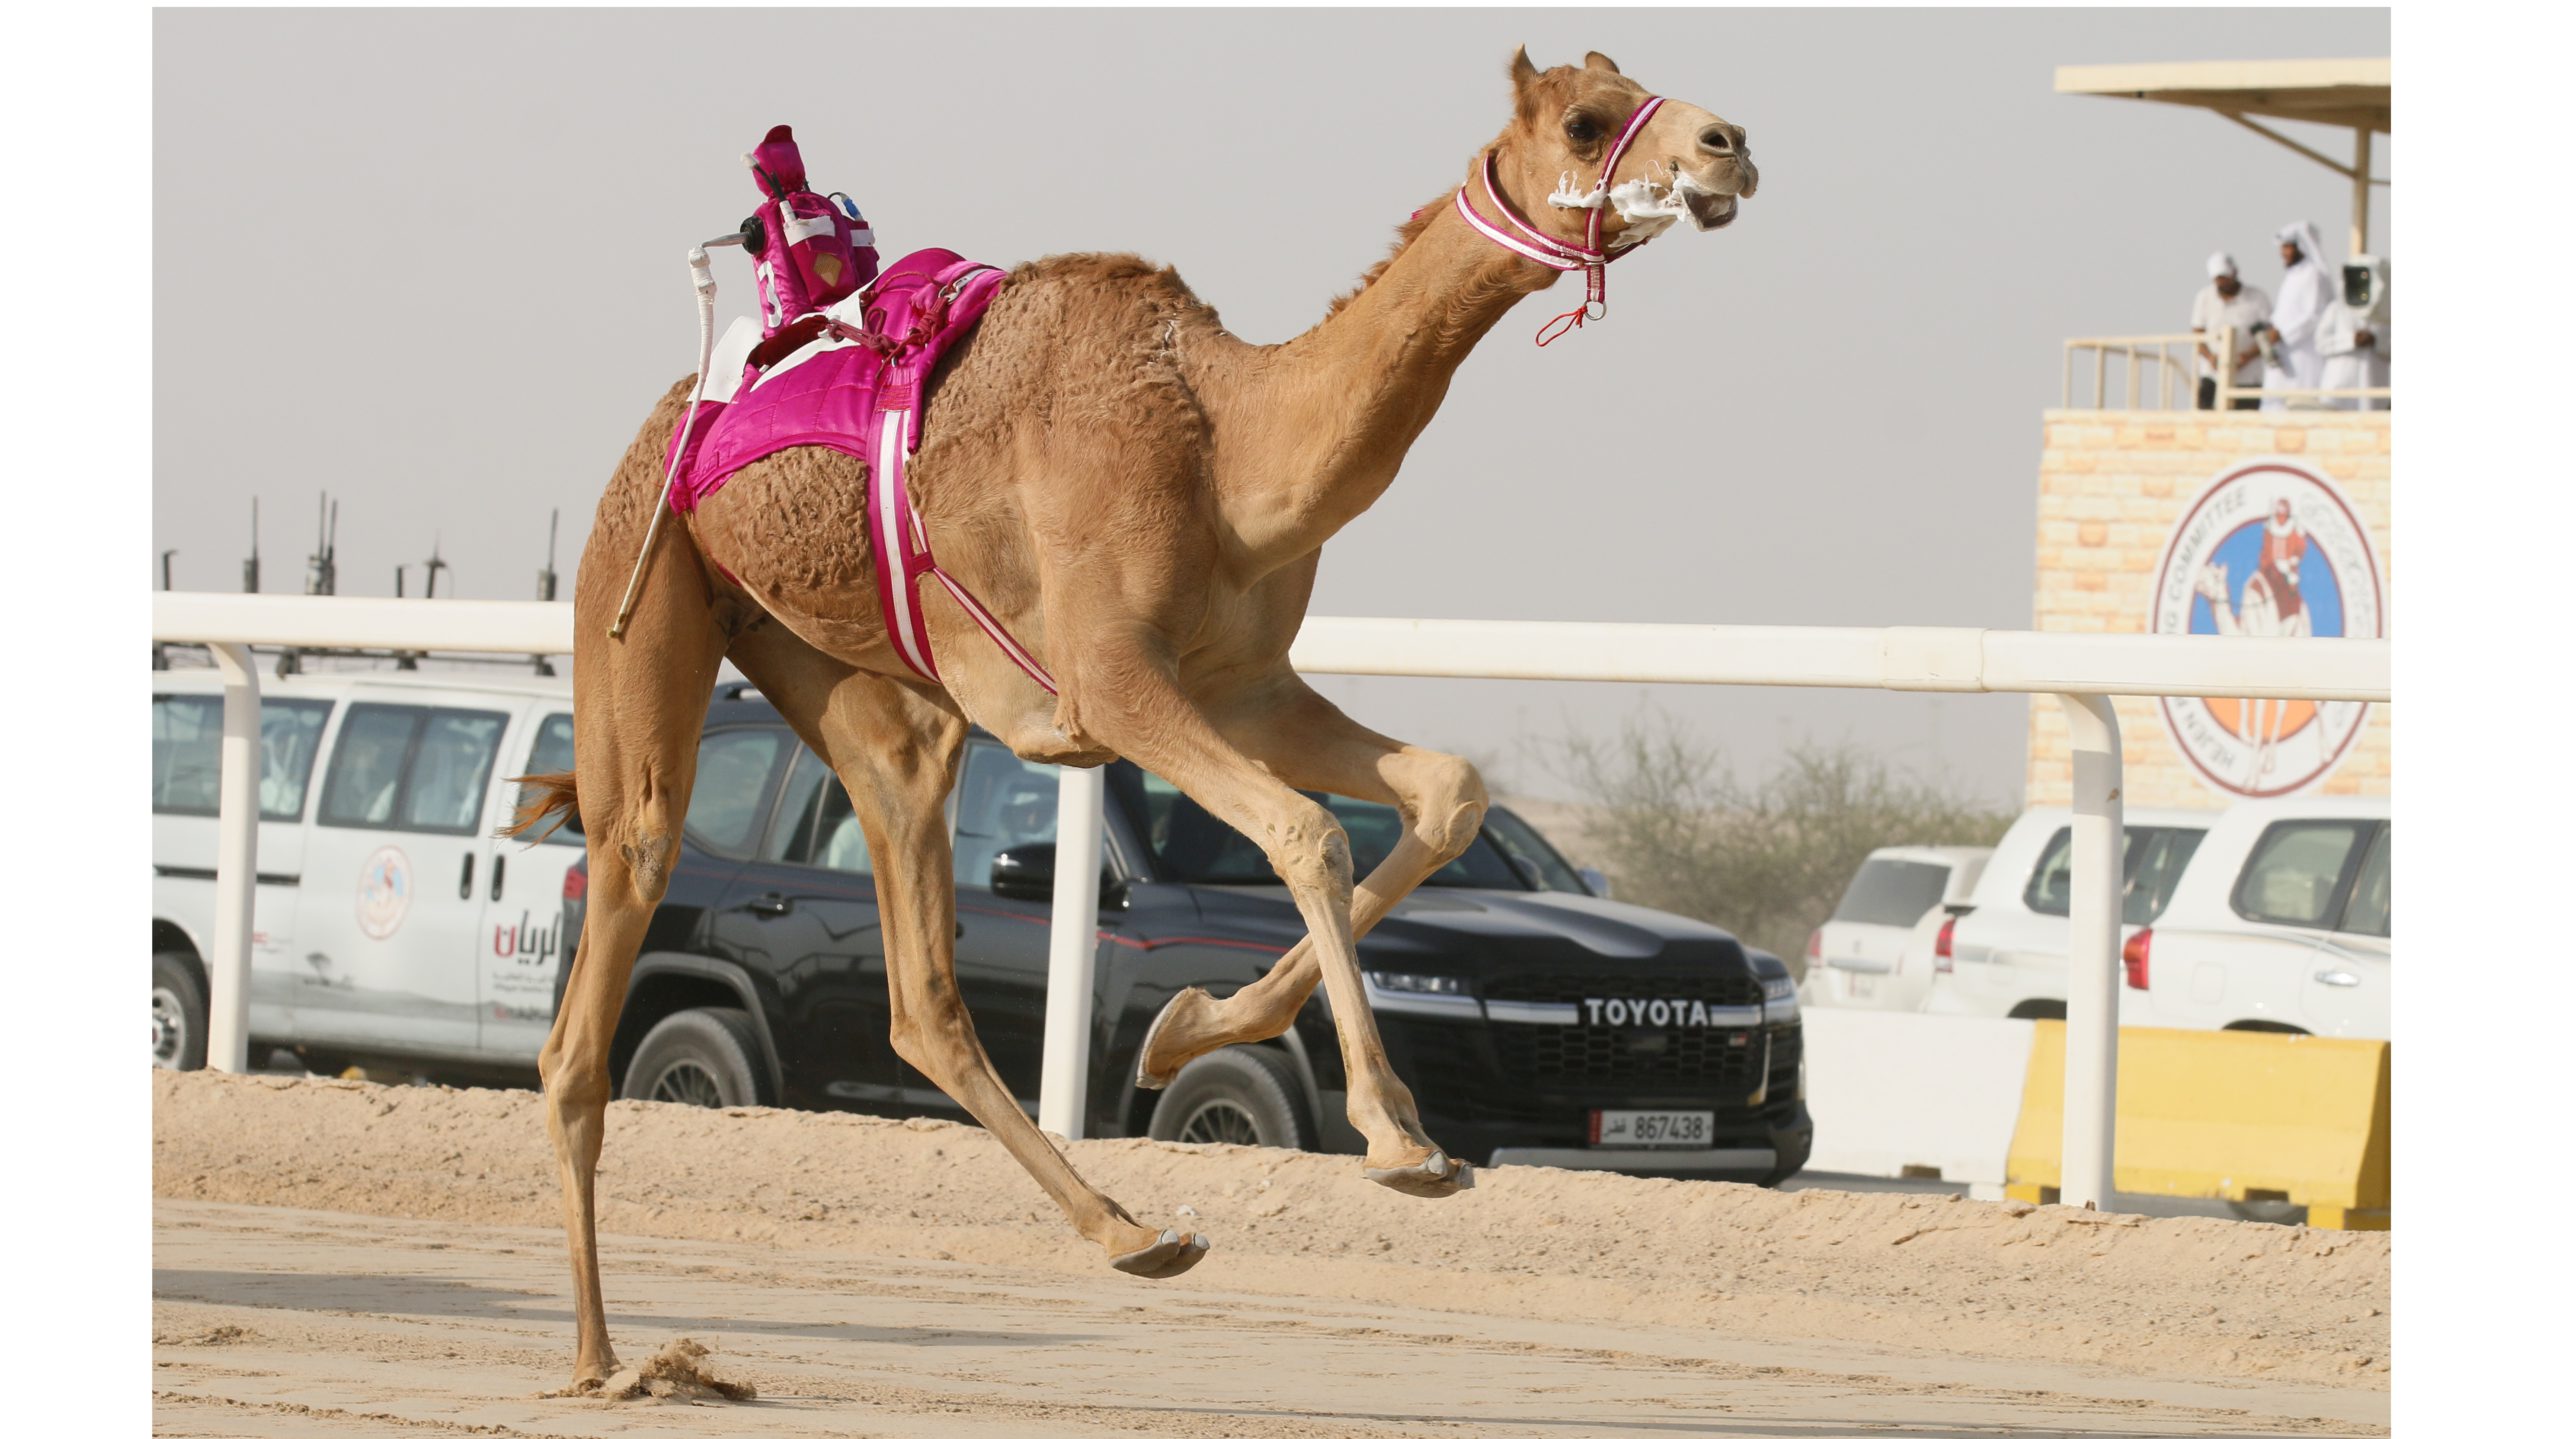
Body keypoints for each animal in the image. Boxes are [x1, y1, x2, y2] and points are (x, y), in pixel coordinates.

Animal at [519, 50, 1761, 1382]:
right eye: (1584, 119)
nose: (1729, 146)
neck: (1223, 439)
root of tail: (669, 422)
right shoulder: (1113, 680)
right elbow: (1306, 831)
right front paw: (1398, 1139)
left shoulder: (1243, 682)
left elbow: (1445, 789)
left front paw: (1185, 1027)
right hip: (641, 584)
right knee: (610, 934)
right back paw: (600, 1354)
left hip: (848, 681)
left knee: (919, 977)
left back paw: (1133, 1231)